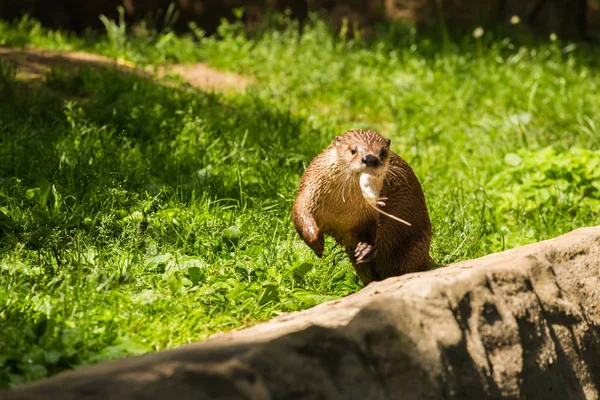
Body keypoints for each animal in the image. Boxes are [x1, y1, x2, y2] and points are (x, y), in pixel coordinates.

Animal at [292, 129, 428, 284]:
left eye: (382, 152)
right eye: (353, 150)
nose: (370, 158)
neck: (340, 209)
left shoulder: (368, 214)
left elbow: (370, 229)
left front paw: (365, 248)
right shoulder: (310, 190)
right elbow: (300, 211)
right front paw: (315, 239)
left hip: (412, 248)